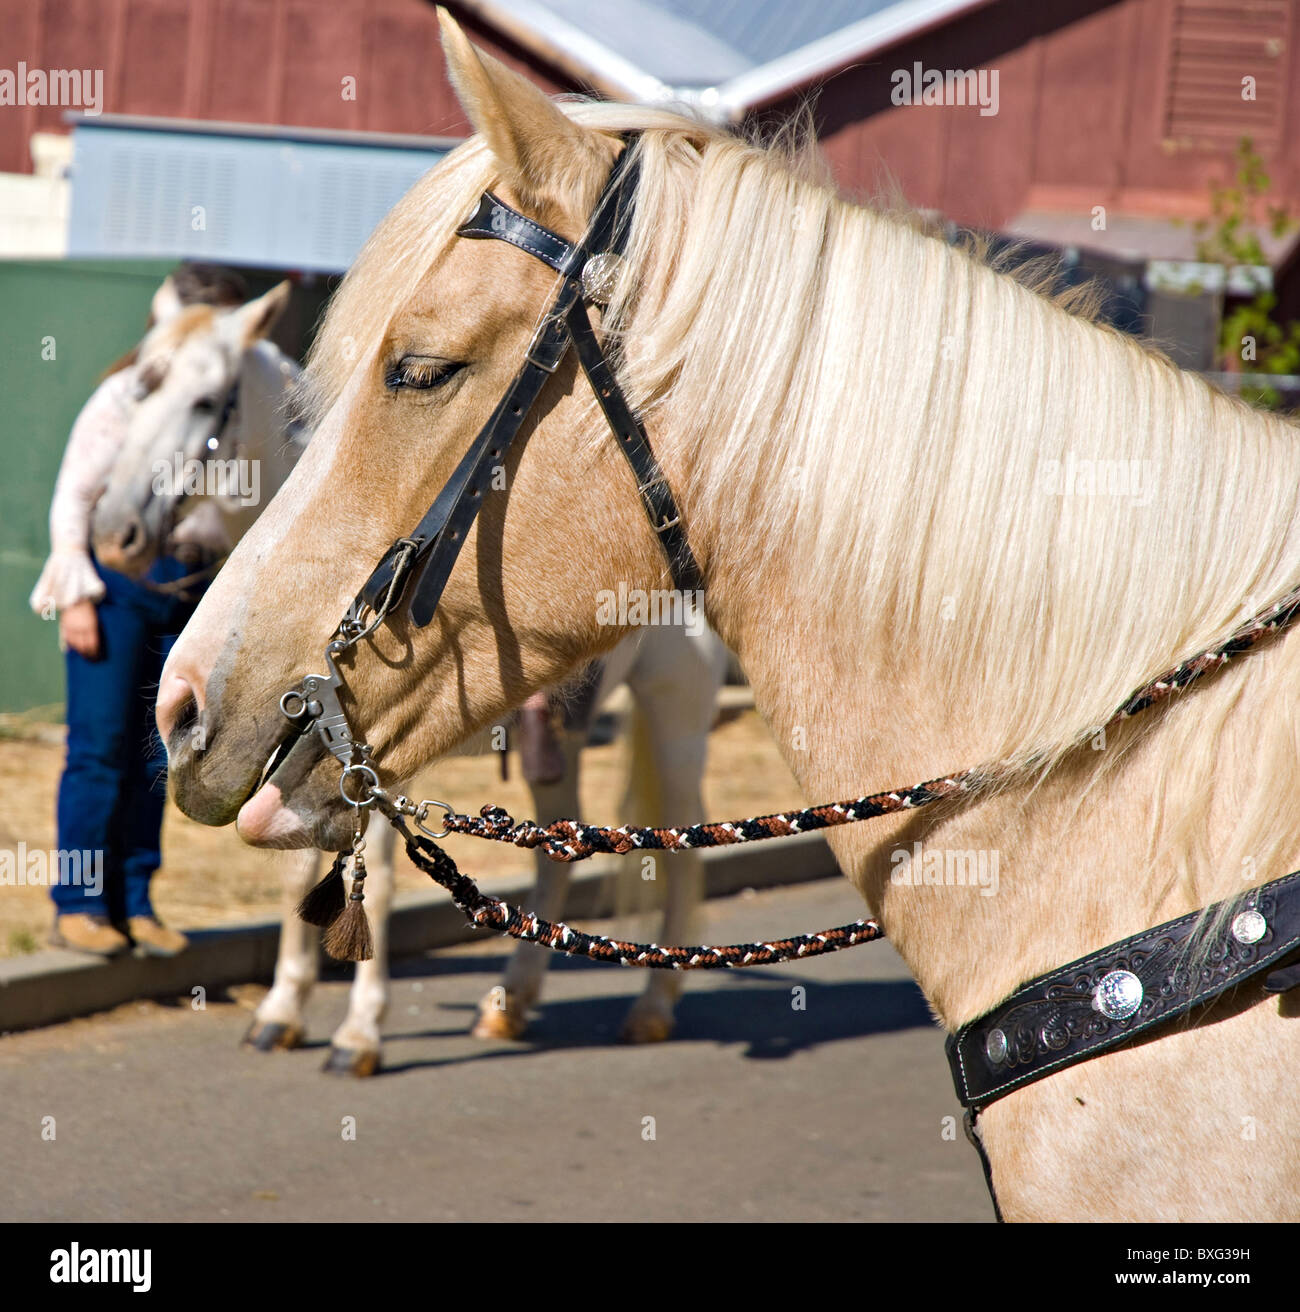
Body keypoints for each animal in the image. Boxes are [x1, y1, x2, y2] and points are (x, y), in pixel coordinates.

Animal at [90, 297, 729, 1075]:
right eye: (139, 389)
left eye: (207, 400)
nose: (113, 531)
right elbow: (299, 876)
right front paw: (282, 1011)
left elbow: (381, 883)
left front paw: (359, 1031)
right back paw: (513, 1001)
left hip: (677, 714)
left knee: (687, 843)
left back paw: (653, 1007)